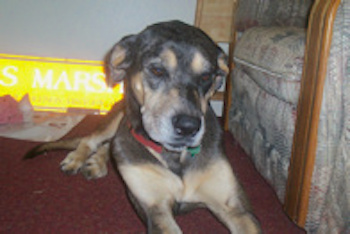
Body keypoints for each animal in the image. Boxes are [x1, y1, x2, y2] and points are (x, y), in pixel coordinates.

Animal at [24, 21, 260, 233]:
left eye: (206, 76)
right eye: (157, 70)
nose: (188, 127)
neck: (175, 157)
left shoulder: (236, 208)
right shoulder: (155, 209)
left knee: (109, 146)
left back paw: (97, 161)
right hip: (116, 118)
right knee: (91, 140)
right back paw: (77, 159)